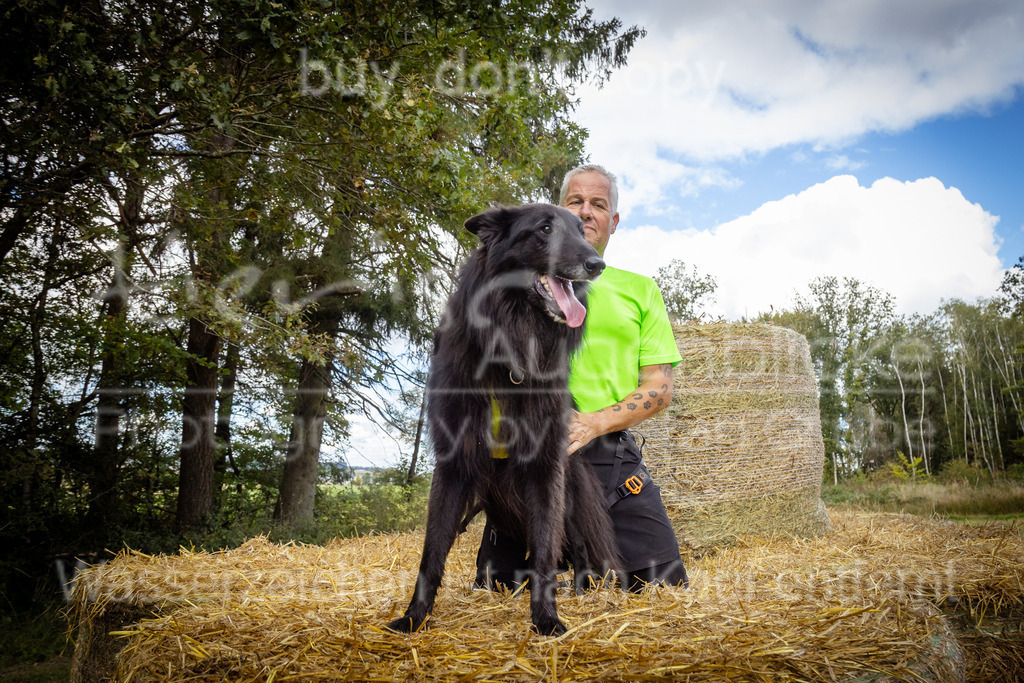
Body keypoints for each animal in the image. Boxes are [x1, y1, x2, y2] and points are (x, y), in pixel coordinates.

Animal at [385, 201, 618, 634]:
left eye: (582, 230)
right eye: (545, 229)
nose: (597, 264)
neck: (510, 345)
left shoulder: (546, 465)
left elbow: (544, 549)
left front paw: (546, 619)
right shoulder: (453, 462)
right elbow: (432, 549)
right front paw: (414, 617)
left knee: (577, 546)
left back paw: (582, 588)